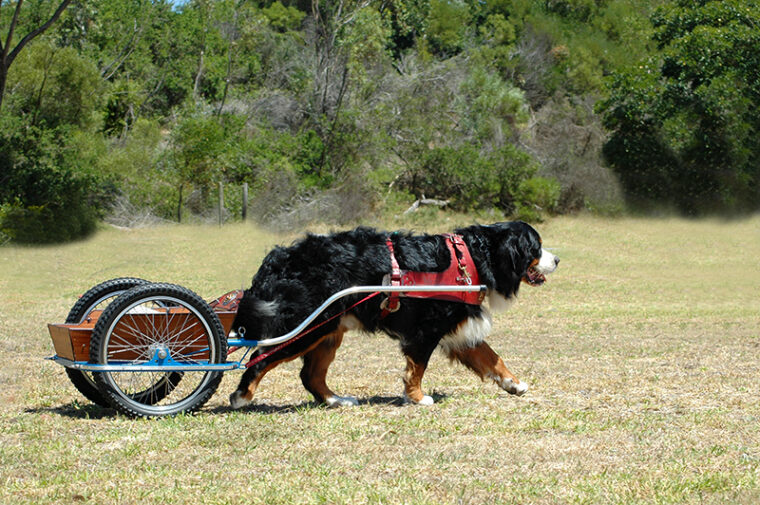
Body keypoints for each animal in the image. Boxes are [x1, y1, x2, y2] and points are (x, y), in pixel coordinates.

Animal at [229, 221, 556, 410]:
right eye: (536, 248)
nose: (558, 259)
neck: (472, 259)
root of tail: (279, 258)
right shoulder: (426, 331)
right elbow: (417, 368)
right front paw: (418, 397)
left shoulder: (460, 330)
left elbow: (492, 357)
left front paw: (514, 384)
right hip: (307, 326)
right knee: (260, 359)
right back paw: (241, 397)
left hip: (328, 331)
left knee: (310, 375)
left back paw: (337, 400)